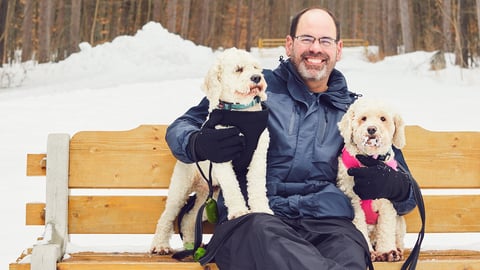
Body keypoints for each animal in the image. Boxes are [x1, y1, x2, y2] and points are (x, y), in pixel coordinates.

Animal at [153, 47, 274, 254]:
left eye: (256, 67)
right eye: (239, 69)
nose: (257, 78)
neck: (241, 113)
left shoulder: (259, 154)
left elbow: (257, 184)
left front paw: (262, 209)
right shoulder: (222, 156)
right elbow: (233, 187)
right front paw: (239, 211)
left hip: (210, 194)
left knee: (189, 218)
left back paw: (191, 244)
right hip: (181, 187)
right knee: (167, 216)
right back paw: (160, 245)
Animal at [336, 98, 406, 262]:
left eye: (383, 119)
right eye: (363, 118)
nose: (372, 129)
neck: (369, 162)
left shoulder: (387, 201)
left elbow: (386, 228)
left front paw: (387, 251)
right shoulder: (353, 200)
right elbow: (359, 226)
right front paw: (369, 251)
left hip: (400, 223)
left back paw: (397, 249)